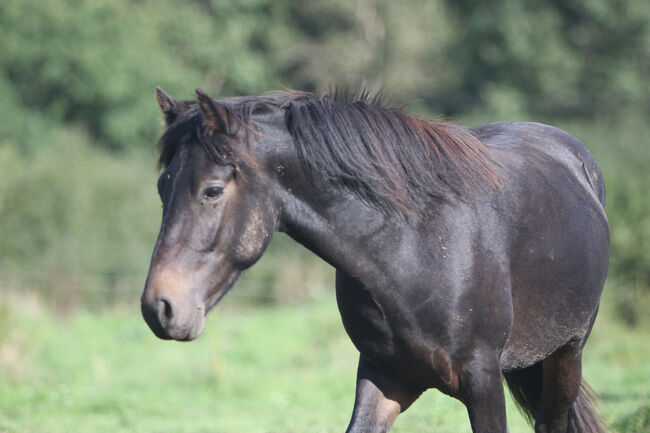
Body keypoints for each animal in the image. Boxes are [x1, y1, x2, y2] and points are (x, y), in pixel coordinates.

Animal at [140, 85, 608, 432]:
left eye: (212, 190)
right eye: (162, 187)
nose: (159, 307)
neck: (414, 250)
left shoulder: (483, 380)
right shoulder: (385, 377)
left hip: (567, 354)